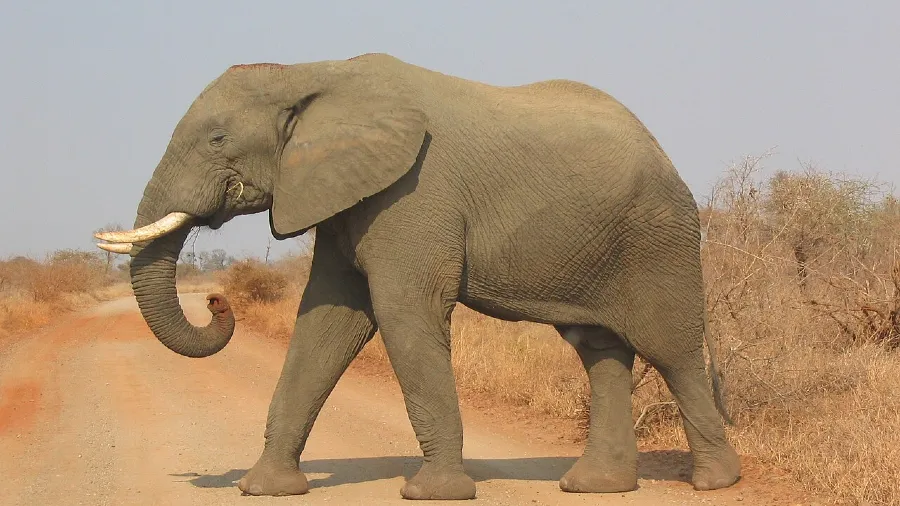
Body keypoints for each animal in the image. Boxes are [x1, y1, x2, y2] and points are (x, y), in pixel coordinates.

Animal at [95, 52, 741, 500]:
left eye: (218, 139)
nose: (216, 303)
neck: (312, 71)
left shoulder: (414, 192)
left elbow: (404, 311)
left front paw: (433, 494)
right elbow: (327, 321)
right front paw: (264, 489)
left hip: (659, 235)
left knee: (673, 349)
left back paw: (716, 483)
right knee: (600, 349)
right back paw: (595, 486)